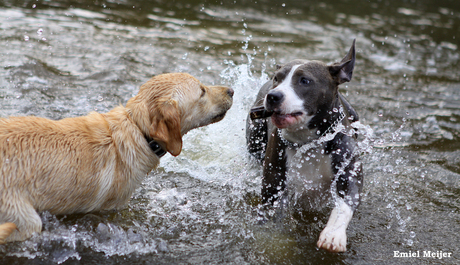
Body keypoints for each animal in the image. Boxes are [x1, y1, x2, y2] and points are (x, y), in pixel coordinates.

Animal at [248, 39, 362, 252]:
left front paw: (333, 234)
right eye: (277, 78)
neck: (309, 141)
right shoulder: (273, 185)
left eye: (304, 81)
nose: (273, 96)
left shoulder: (349, 174)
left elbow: (344, 205)